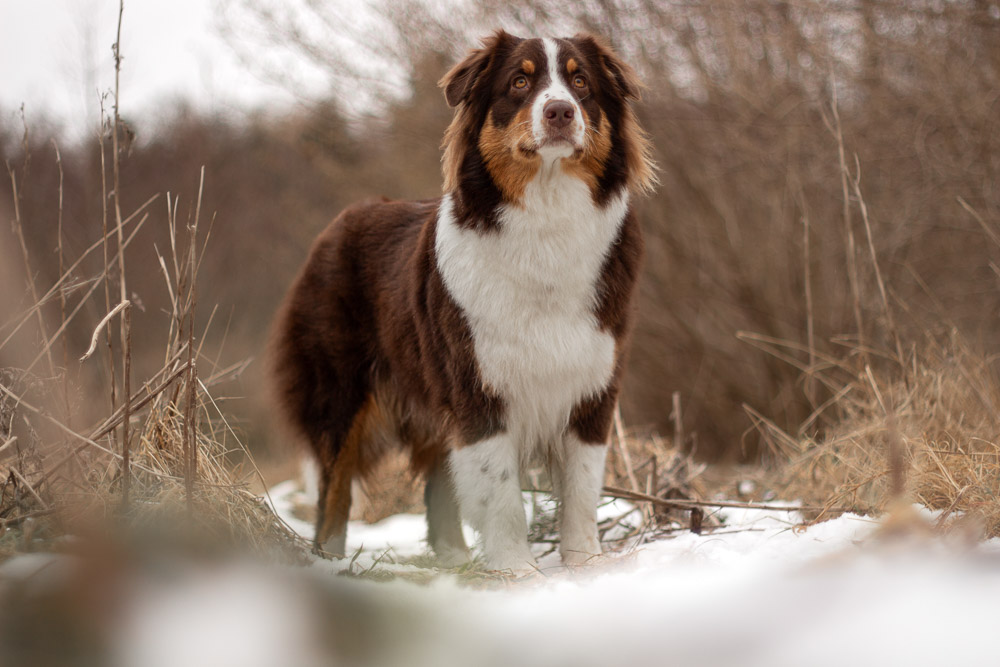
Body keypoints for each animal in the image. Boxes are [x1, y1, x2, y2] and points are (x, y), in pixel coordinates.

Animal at [272, 30, 656, 576]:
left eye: (581, 81)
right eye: (519, 82)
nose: (560, 111)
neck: (547, 218)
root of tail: (339, 223)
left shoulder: (593, 385)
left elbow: (581, 490)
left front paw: (585, 564)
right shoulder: (478, 387)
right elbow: (501, 492)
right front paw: (517, 572)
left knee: (437, 486)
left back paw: (454, 562)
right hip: (340, 393)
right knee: (336, 488)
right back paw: (330, 560)